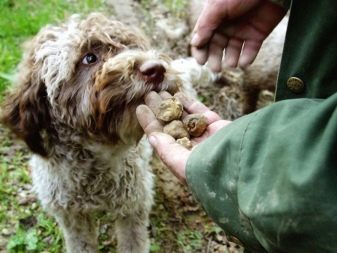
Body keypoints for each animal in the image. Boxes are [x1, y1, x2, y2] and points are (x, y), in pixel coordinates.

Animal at [0, 13, 210, 253]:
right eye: (89, 58)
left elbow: (133, 243)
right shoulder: (71, 216)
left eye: (132, 46)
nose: (157, 68)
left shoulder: (133, 205)